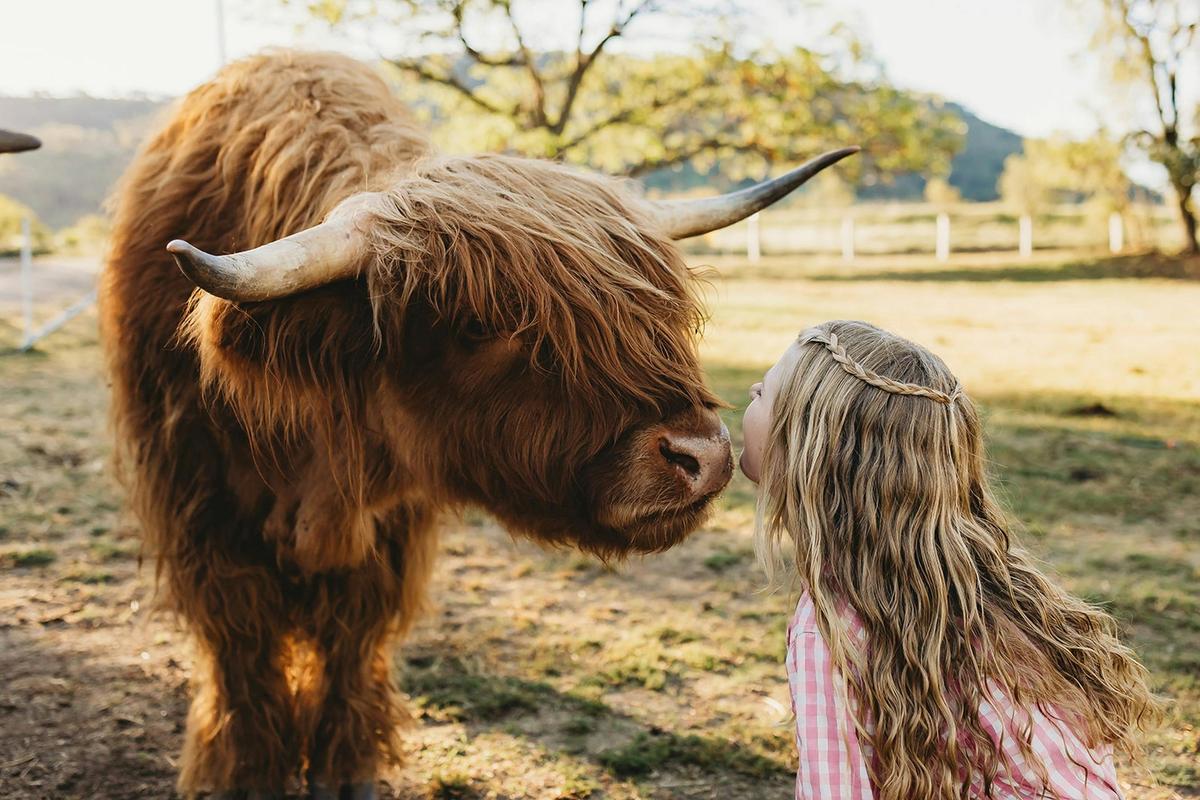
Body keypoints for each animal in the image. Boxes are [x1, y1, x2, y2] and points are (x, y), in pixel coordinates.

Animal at [99, 50, 855, 798]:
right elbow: (244, 658)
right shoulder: (200, 518)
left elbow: (349, 647)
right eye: (477, 326)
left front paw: (347, 772)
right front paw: (244, 774)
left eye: (657, 309)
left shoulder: (388, 538)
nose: (704, 454)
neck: (313, 470)